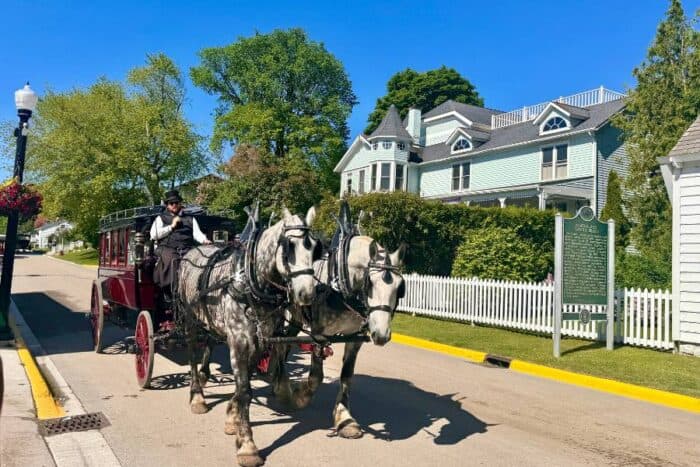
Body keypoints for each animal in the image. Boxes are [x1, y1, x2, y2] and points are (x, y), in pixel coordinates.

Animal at [178, 208, 320, 467]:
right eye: (289, 246)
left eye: (315, 248)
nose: (306, 294)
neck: (253, 284)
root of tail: (193, 249)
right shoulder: (239, 341)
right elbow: (244, 391)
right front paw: (247, 444)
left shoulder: (260, 341)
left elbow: (245, 387)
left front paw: (232, 417)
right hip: (190, 319)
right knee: (192, 354)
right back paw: (197, 396)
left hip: (210, 321)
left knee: (209, 343)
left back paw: (205, 375)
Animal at [270, 236, 408, 440]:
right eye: (370, 283)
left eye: (400, 288)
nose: (381, 334)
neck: (341, 286)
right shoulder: (319, 333)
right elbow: (316, 376)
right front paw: (301, 396)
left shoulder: (355, 338)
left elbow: (347, 376)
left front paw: (345, 418)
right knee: (277, 342)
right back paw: (283, 390)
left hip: (296, 316)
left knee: (283, 344)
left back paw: (277, 381)